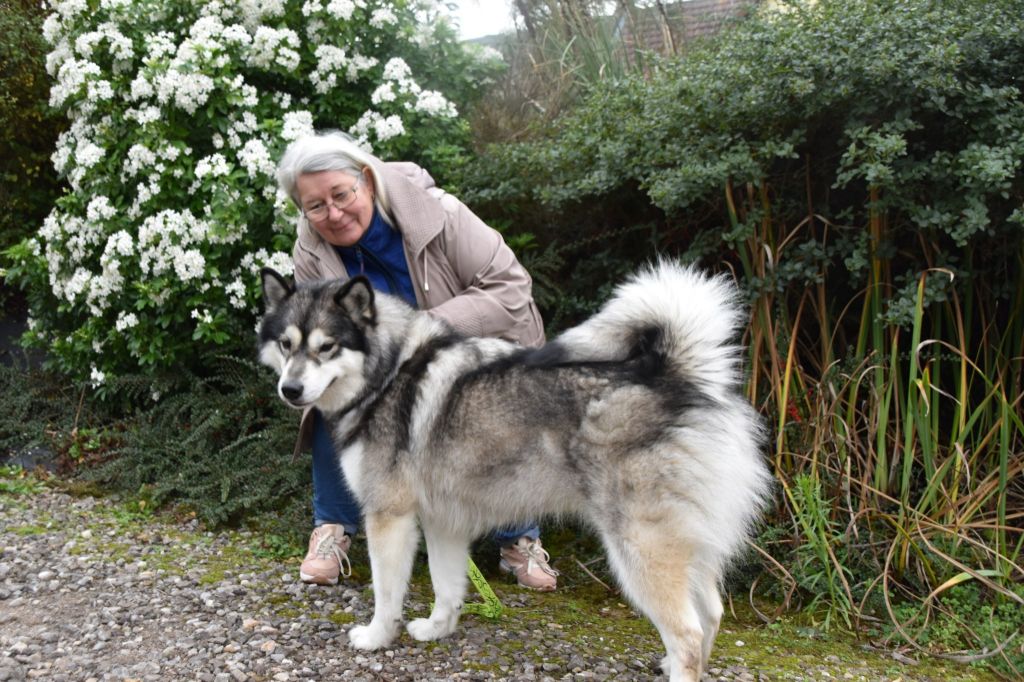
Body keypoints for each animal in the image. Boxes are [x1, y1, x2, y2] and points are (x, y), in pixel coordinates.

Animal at [256, 260, 770, 679]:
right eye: (286, 344)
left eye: (327, 347)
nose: (290, 390)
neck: (387, 374)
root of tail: (681, 379)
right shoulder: (443, 522)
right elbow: (447, 586)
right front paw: (437, 629)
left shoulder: (389, 518)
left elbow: (386, 592)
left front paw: (377, 637)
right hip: (688, 548)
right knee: (711, 614)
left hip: (640, 550)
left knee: (687, 633)